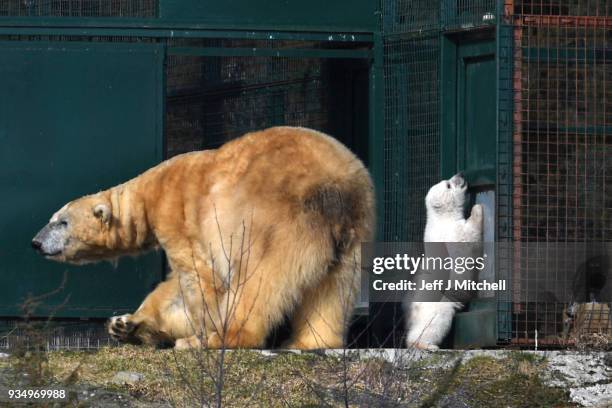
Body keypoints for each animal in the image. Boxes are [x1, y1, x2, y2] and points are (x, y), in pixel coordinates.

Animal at [34, 128, 378, 350]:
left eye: (61, 222)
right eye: (52, 219)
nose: (36, 242)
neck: (149, 192)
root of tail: (335, 189)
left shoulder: (178, 216)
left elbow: (198, 278)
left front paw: (198, 333)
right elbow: (173, 289)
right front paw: (125, 324)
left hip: (277, 222)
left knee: (257, 282)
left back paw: (219, 338)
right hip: (354, 232)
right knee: (332, 289)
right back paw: (310, 341)